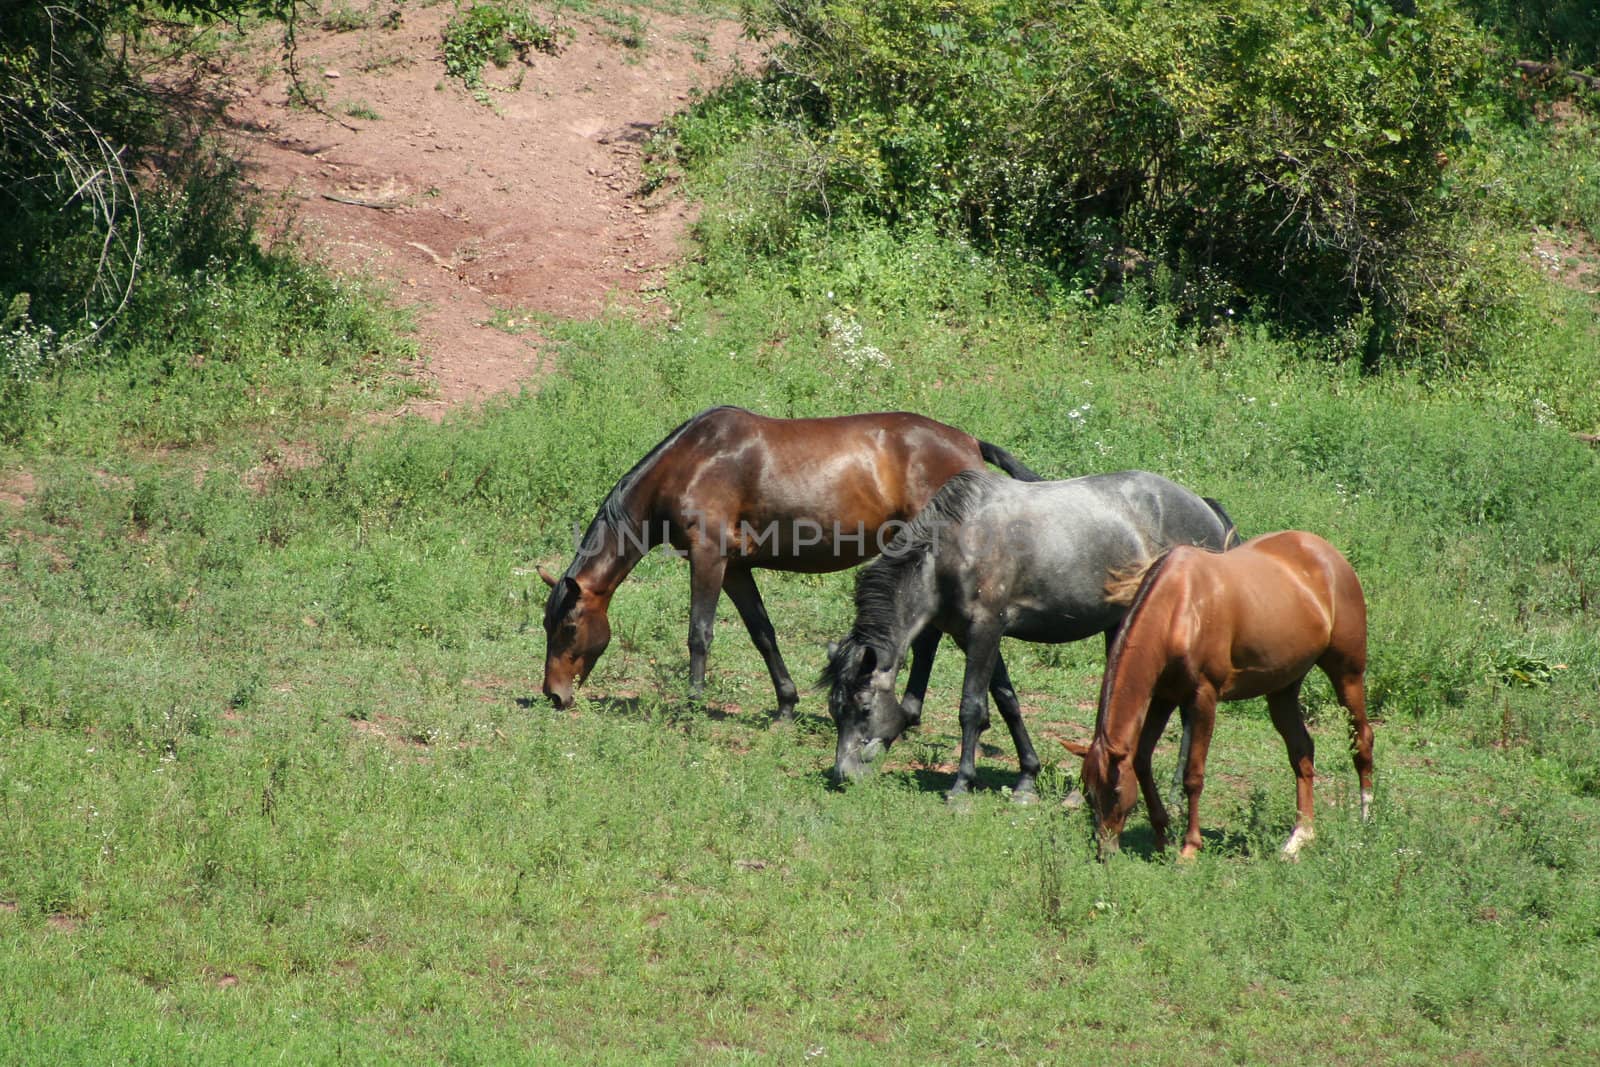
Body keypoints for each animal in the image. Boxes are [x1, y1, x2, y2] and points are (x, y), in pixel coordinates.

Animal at [537, 406, 1036, 716]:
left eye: (568, 628)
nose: (553, 695)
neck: (692, 460)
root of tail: (970, 443)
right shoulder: (736, 568)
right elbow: (762, 632)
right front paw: (786, 704)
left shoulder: (708, 557)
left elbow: (699, 633)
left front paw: (692, 704)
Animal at [819, 470, 1241, 799]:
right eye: (835, 709)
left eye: (864, 708)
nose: (844, 775)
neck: (954, 547)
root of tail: (1205, 510)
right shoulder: (972, 636)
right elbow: (1007, 701)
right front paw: (1027, 778)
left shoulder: (985, 630)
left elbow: (972, 707)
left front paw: (961, 785)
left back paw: (1173, 792)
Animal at [1062, 531, 1376, 863]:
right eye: (1088, 792)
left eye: (1116, 792)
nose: (1104, 852)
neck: (1179, 608)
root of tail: (1328, 554)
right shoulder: (1163, 697)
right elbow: (1142, 760)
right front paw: (1162, 837)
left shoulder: (1203, 698)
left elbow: (1193, 775)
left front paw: (1189, 847)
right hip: (1283, 689)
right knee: (1302, 751)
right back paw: (1299, 837)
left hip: (1348, 674)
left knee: (1362, 739)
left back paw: (1366, 819)